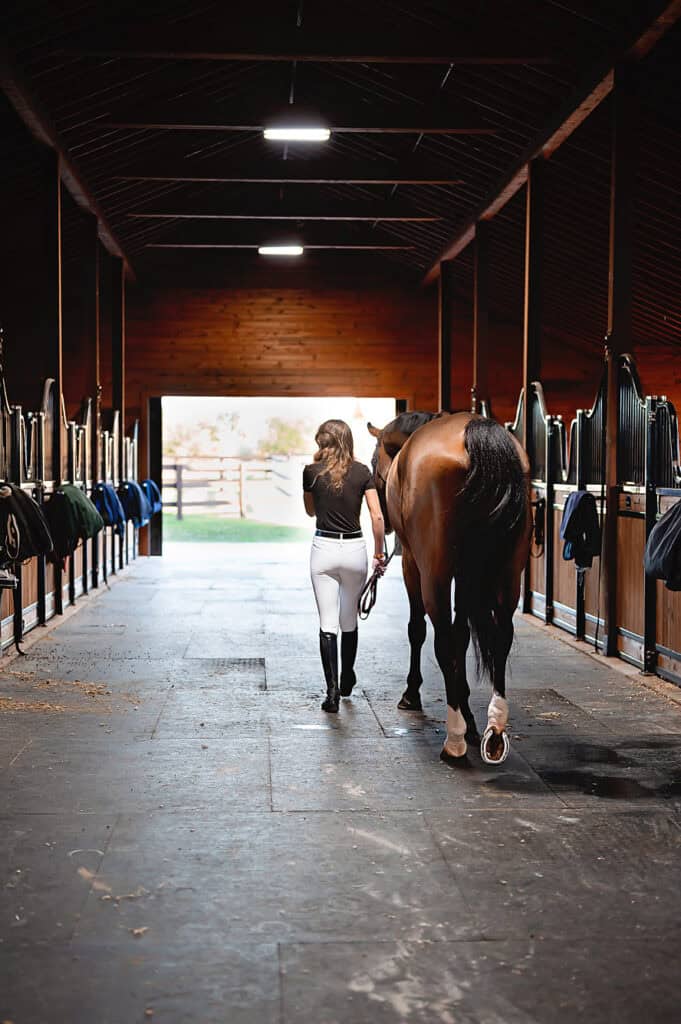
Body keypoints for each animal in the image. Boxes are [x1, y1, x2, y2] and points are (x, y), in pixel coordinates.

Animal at [368, 411, 528, 765]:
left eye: (372, 460)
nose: (383, 520)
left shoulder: (412, 562)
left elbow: (418, 630)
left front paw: (412, 694)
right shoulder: (467, 574)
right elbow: (462, 636)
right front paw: (469, 713)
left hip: (435, 574)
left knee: (441, 638)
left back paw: (454, 740)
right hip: (508, 574)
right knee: (502, 637)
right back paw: (494, 731)